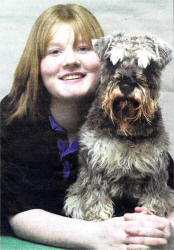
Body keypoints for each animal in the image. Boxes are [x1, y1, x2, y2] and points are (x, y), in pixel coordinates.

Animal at [63, 31, 174, 221]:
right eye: (113, 62)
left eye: (147, 65)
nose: (127, 85)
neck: (126, 127)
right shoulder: (96, 164)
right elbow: (96, 195)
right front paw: (99, 218)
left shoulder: (155, 169)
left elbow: (155, 197)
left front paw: (152, 215)